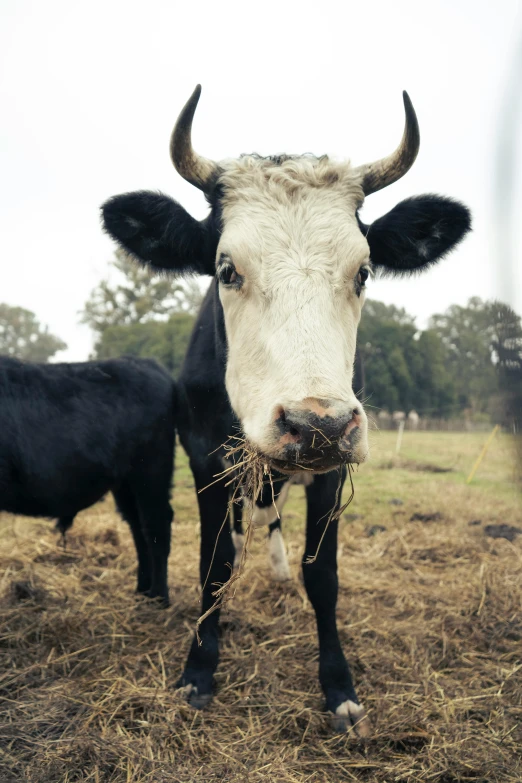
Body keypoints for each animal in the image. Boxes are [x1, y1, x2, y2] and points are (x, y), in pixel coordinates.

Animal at [0, 356, 175, 608]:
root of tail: (145, 363)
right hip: (126, 484)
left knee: (156, 526)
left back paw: (159, 597)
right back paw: (142, 590)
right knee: (138, 527)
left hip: (151, 473)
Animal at [99, 86, 470, 736]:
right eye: (226, 269)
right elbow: (214, 565)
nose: (316, 424)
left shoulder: (332, 469)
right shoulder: (205, 461)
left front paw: (338, 687)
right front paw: (199, 671)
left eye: (364, 271)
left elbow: (322, 576)